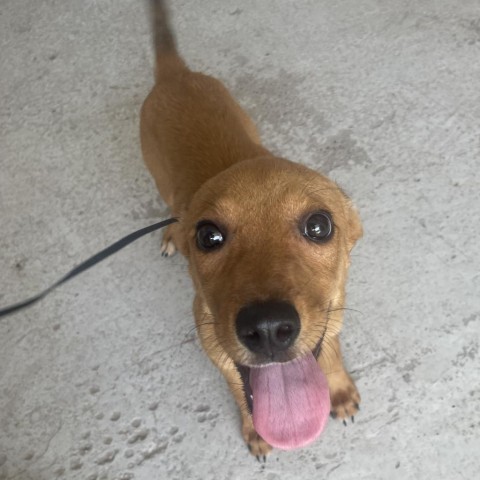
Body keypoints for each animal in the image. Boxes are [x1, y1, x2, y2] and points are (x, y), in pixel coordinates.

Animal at [141, 0, 362, 458]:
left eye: (319, 225)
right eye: (208, 236)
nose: (268, 329)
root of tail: (175, 75)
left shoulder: (332, 317)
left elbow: (330, 349)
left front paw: (338, 389)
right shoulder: (216, 349)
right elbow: (239, 390)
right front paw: (254, 429)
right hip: (159, 178)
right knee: (171, 208)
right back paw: (170, 232)